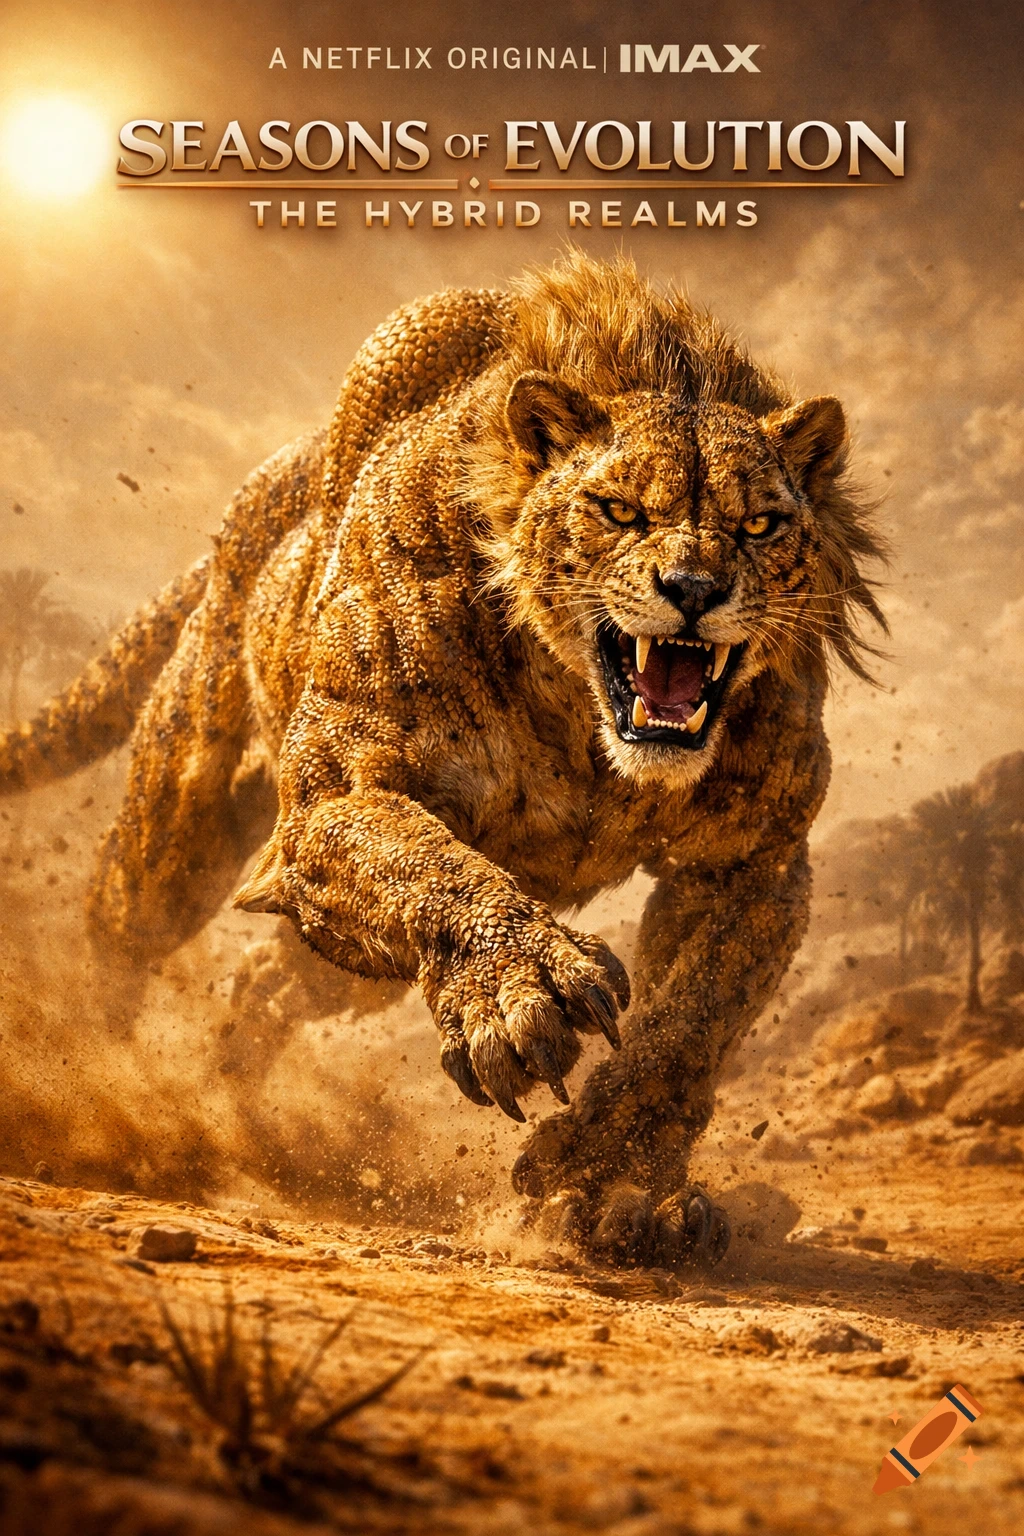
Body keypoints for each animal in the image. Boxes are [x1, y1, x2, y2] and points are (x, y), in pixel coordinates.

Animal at [0, 254, 885, 1266]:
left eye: (760, 526)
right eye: (620, 510)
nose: (695, 591)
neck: (583, 724)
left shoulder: (756, 864)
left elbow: (691, 1025)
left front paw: (617, 1182)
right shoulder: (336, 796)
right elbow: (430, 867)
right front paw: (517, 987)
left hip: (336, 965)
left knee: (264, 987)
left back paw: (240, 1102)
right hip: (179, 826)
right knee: (116, 939)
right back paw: (86, 1077)